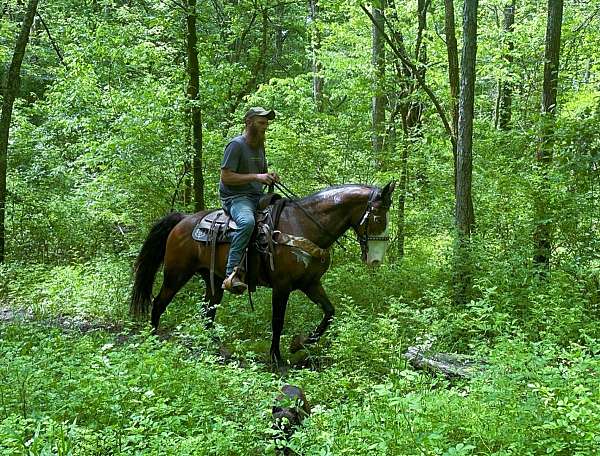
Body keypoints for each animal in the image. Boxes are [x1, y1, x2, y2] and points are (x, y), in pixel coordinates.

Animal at [130, 182, 394, 366]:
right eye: (378, 217)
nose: (376, 260)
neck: (303, 226)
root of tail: (183, 220)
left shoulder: (310, 283)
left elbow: (329, 312)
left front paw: (299, 344)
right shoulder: (282, 286)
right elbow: (278, 321)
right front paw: (276, 356)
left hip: (213, 280)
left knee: (208, 314)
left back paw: (217, 349)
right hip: (176, 273)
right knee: (159, 303)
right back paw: (153, 340)